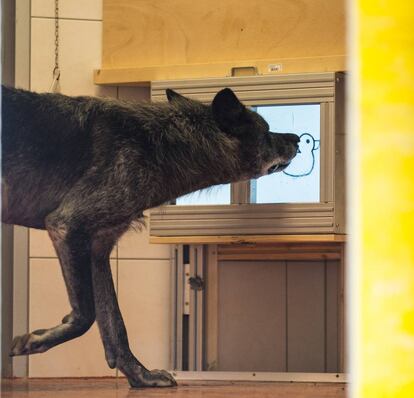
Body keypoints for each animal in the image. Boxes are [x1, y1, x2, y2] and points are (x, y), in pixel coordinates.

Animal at [0, 85, 298, 388]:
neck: (162, 143)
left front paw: (141, 376)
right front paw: (34, 341)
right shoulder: (67, 225)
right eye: (266, 132)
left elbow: (115, 325)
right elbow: (86, 314)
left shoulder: (97, 250)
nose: (298, 139)